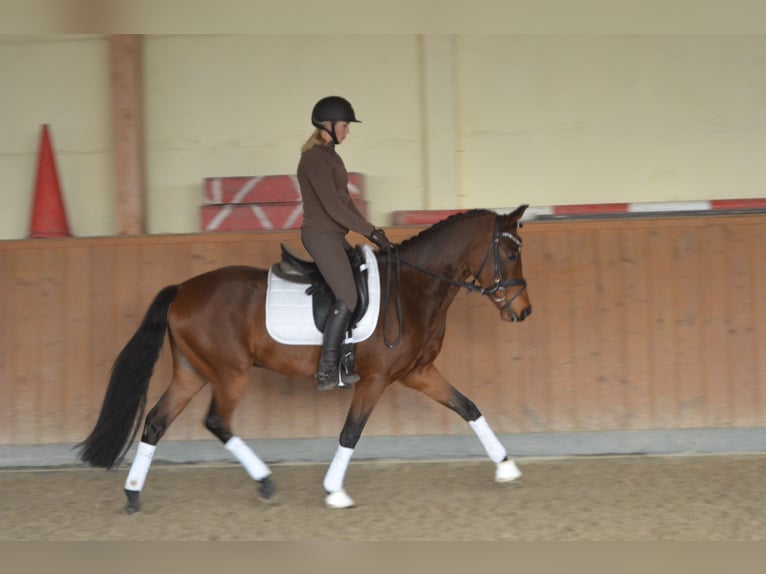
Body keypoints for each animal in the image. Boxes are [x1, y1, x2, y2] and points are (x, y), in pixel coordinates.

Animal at [79, 205, 536, 510]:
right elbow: (350, 433)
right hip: (230, 373)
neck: (412, 287)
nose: (524, 311)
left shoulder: (418, 372)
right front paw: (335, 491)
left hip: (192, 372)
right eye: (511, 254)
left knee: (156, 422)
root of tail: (182, 290)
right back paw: (264, 482)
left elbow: (469, 407)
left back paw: (133, 494)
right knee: (216, 421)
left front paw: (506, 466)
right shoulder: (375, 380)